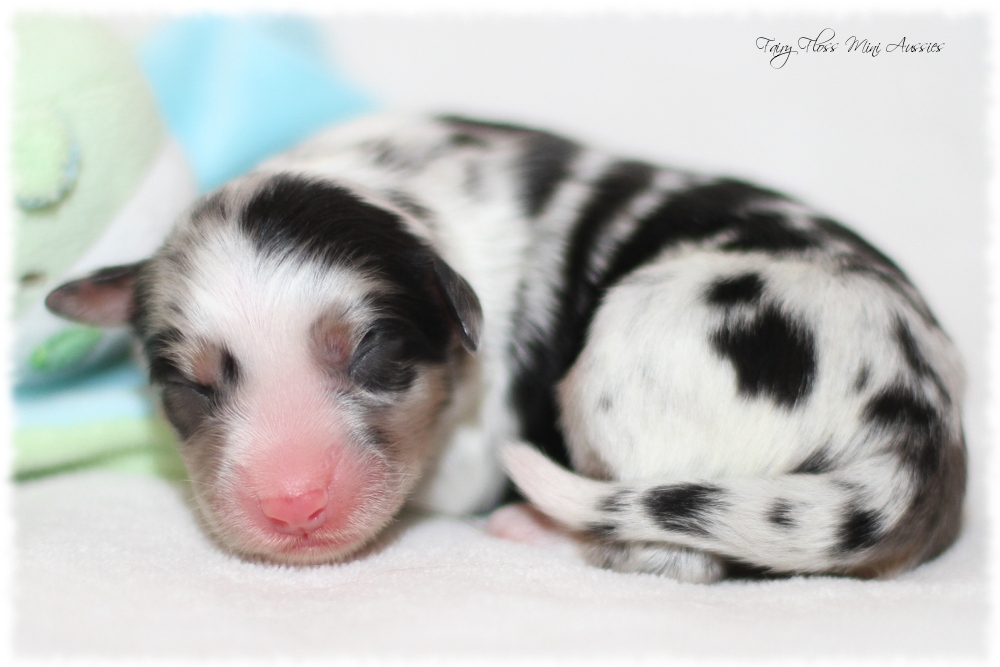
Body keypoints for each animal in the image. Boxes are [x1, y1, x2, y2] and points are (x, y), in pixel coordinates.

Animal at [43, 113, 964, 580]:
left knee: (669, 545)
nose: (293, 506)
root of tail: (918, 423)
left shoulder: (471, 445)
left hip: (626, 362)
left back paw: (534, 526)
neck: (398, 195)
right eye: (187, 389)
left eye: (376, 354)